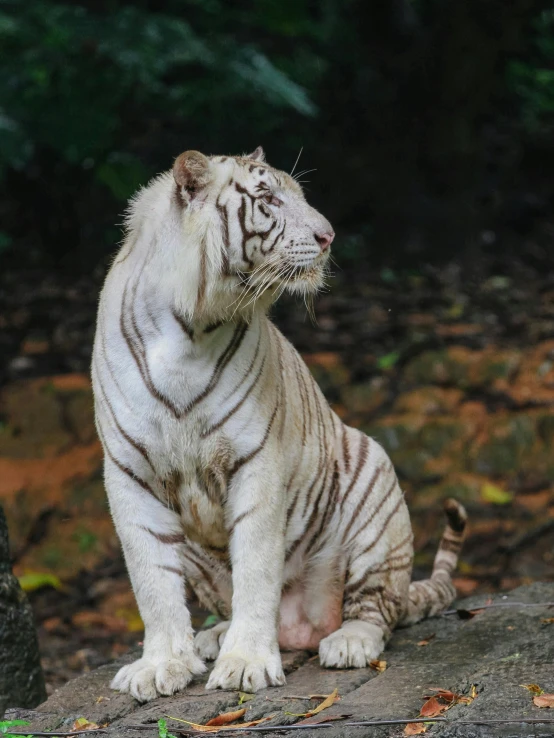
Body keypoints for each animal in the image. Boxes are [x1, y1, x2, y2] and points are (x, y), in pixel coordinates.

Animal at [91, 145, 466, 700]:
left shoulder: (255, 460)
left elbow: (255, 567)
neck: (189, 331)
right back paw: (213, 638)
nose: (329, 235)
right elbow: (151, 579)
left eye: (300, 195)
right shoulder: (128, 472)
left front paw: (245, 662)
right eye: (267, 198)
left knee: (378, 608)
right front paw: (162, 665)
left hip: (374, 482)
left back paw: (347, 642)